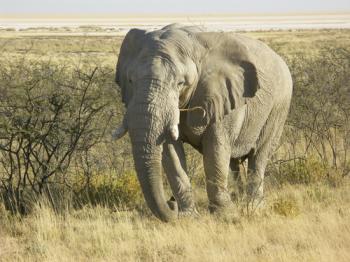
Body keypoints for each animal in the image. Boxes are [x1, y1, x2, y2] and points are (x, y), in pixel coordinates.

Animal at [113, 24, 292, 221]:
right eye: (130, 80)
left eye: (180, 83)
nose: (171, 202)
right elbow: (170, 151)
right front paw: (188, 216)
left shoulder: (222, 96)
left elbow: (216, 147)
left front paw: (225, 214)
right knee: (234, 161)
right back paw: (240, 200)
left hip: (279, 107)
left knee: (259, 155)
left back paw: (254, 207)